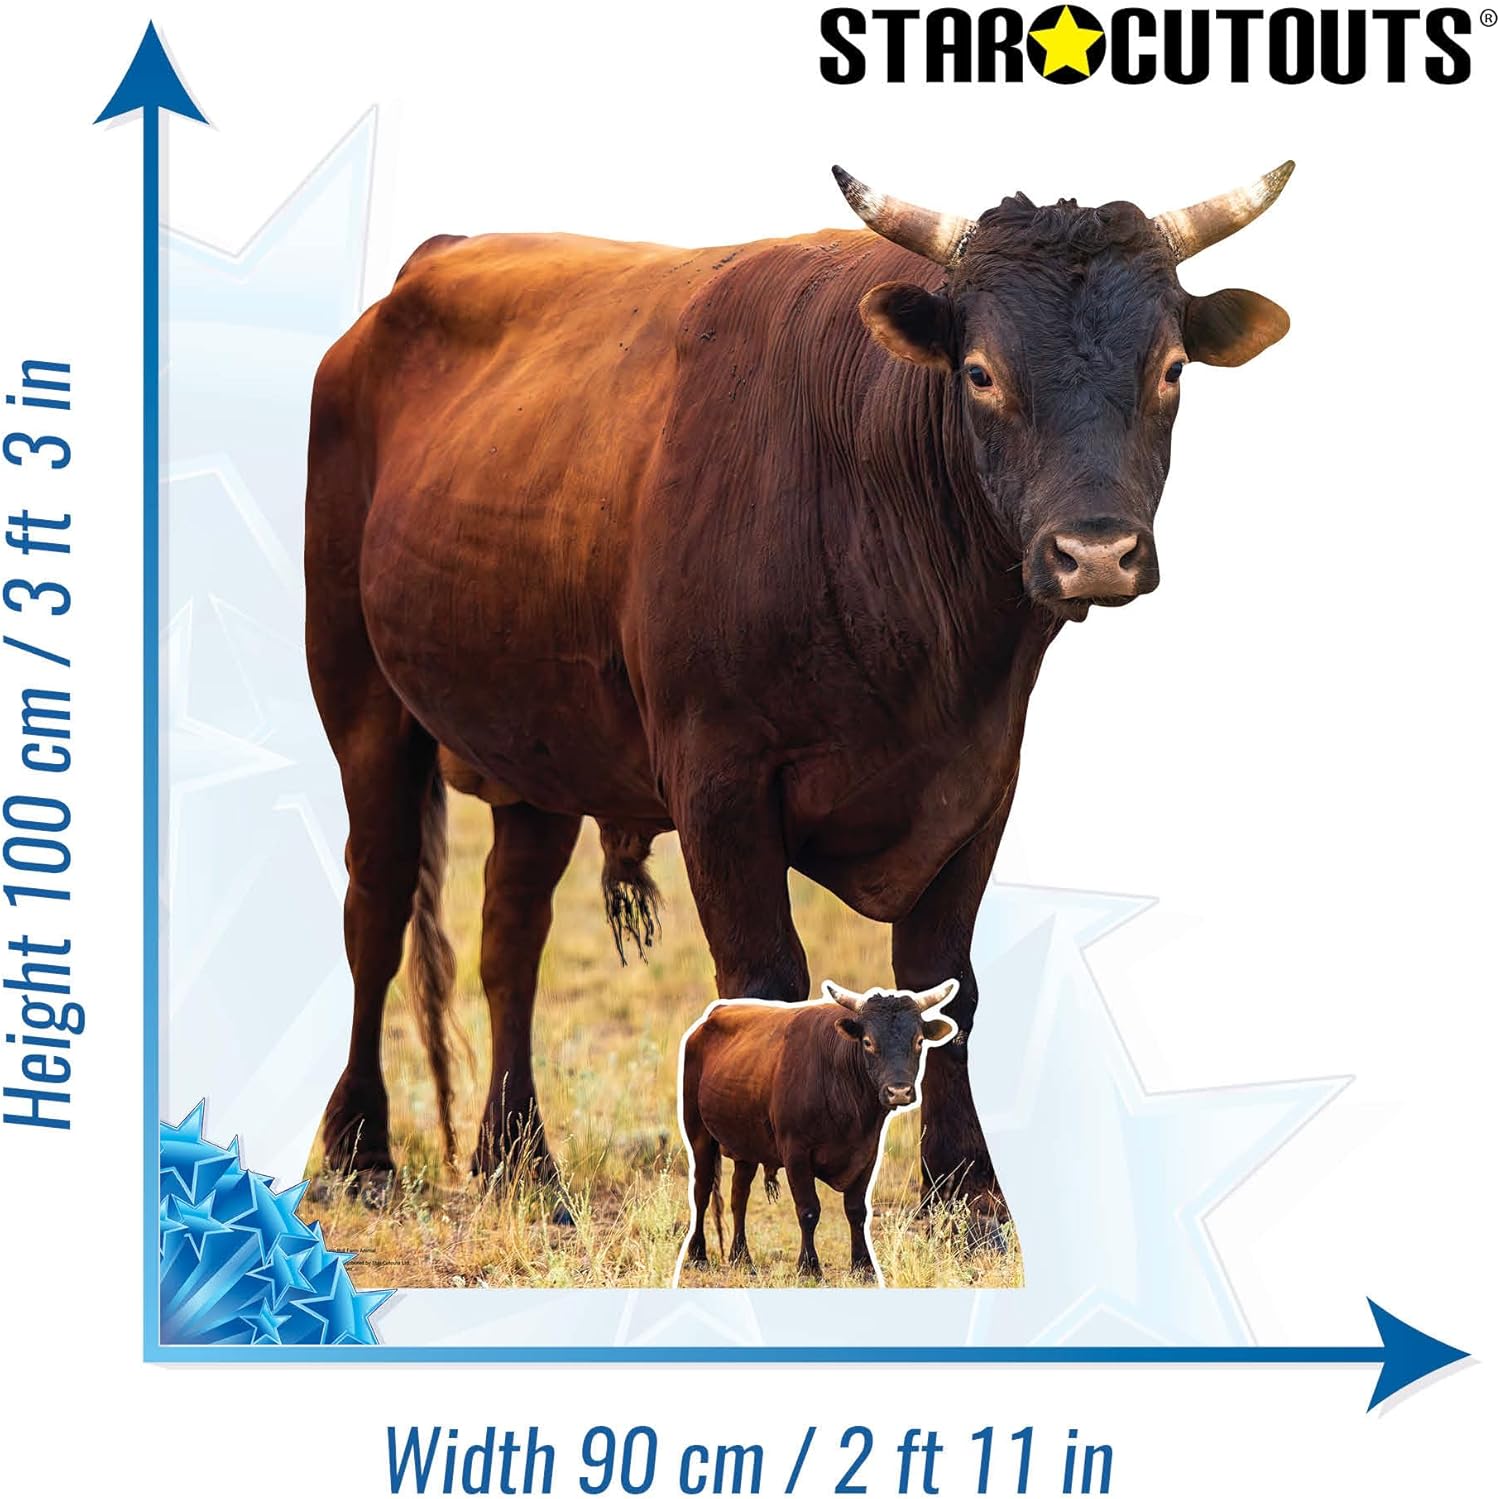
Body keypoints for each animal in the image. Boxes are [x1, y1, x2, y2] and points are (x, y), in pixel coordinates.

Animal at [305, 161, 1294, 1247]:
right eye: (980, 373)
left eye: (1171, 369)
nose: (1097, 552)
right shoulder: (720, 785)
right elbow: (763, 978)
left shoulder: (979, 785)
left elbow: (952, 980)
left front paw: (968, 1193)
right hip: (361, 700)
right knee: (373, 909)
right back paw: (361, 1152)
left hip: (538, 748)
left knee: (509, 935)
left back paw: (519, 1162)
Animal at [678, 981, 959, 1281]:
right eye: (868, 1042)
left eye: (918, 1041)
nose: (899, 1091)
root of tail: (705, 1023)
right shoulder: (796, 1154)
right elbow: (809, 1209)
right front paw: (809, 1266)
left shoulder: (867, 1154)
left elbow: (856, 1210)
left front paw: (863, 1265)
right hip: (699, 1137)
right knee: (701, 1192)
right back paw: (698, 1254)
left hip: (746, 1147)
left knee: (738, 1196)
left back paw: (742, 1257)